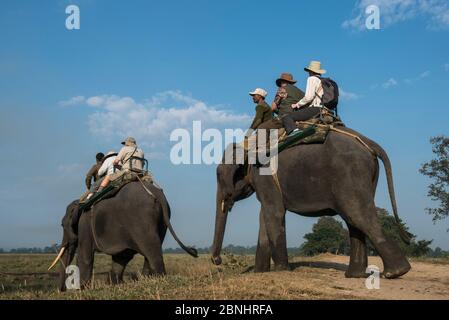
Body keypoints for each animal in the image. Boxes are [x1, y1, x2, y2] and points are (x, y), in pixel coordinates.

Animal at [49, 179, 196, 292]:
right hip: (162, 221)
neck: (80, 201)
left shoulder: (84, 226)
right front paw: (113, 284)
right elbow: (122, 257)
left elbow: (85, 256)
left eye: (62, 225)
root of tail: (158, 193)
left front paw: (81, 289)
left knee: (151, 249)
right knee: (152, 248)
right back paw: (145, 280)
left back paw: (158, 280)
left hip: (141, 219)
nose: (61, 290)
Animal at [212, 126, 412, 278]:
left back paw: (395, 272)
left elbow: (274, 212)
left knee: (357, 215)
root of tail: (369, 143)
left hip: (350, 174)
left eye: (218, 175)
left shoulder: (264, 176)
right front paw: (260, 273)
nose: (217, 261)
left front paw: (281, 271)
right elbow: (265, 215)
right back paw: (354, 275)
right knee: (353, 220)